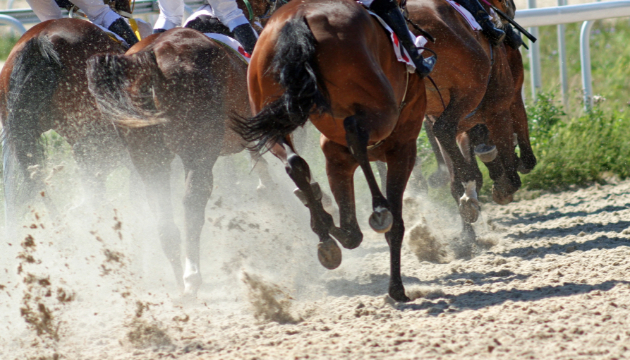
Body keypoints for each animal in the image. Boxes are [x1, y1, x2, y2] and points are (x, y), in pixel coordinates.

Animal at [85, 24, 276, 296]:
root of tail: (150, 61)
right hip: (198, 153)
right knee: (192, 203)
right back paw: (191, 275)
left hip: (149, 159)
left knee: (162, 211)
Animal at [237, 0, 430, 300]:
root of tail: (296, 17)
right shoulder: (403, 148)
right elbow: (394, 225)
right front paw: (397, 289)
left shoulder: (335, 157)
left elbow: (351, 232)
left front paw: (324, 221)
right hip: (381, 108)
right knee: (355, 131)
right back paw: (378, 208)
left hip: (269, 112)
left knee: (294, 162)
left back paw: (322, 225)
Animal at [404, 0, 540, 242]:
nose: (511, 6)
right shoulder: (503, 102)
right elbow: (518, 157)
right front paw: (503, 183)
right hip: (470, 90)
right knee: (444, 129)